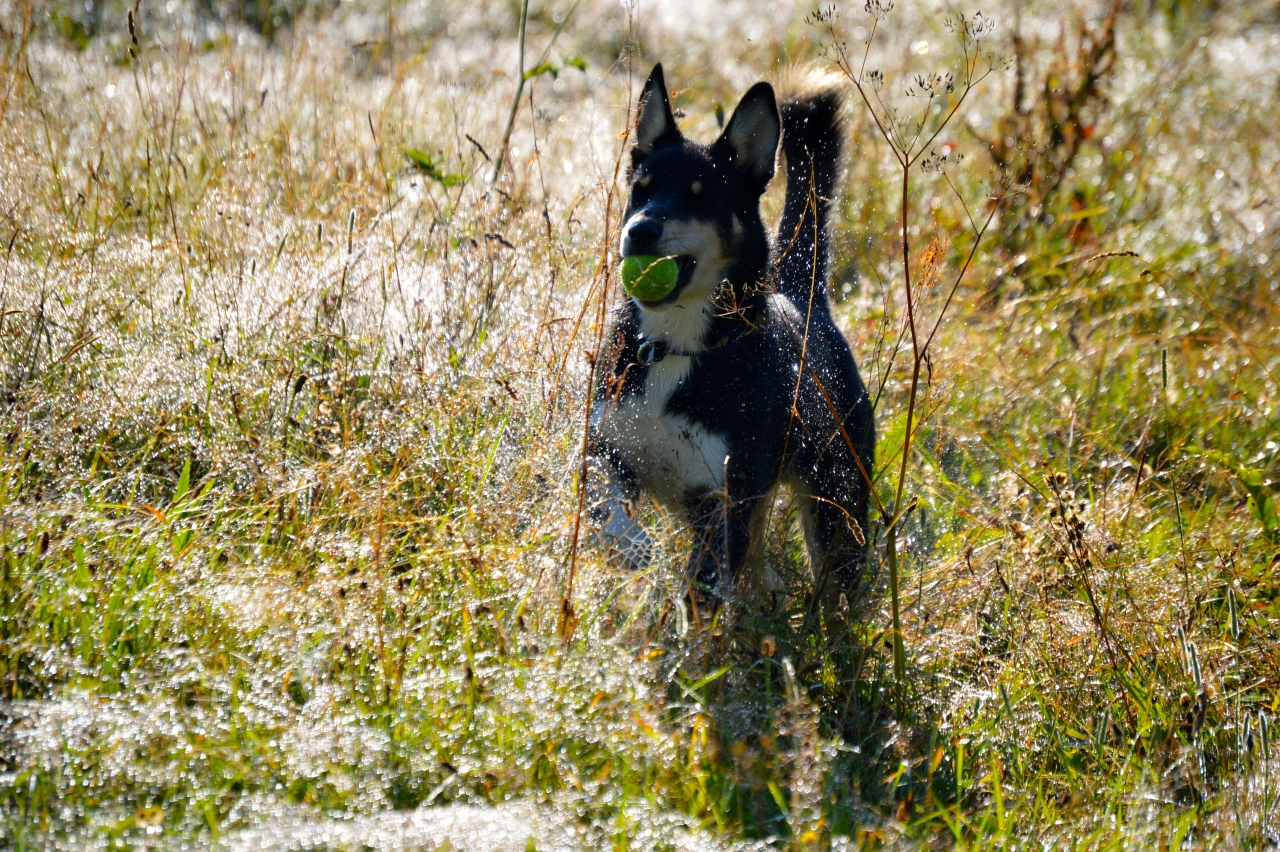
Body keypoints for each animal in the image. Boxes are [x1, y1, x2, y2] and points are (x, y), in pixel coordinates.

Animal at [587, 64, 875, 608]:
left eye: (701, 197)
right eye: (641, 190)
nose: (639, 231)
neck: (676, 346)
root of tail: (804, 300)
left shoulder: (725, 505)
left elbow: (701, 590)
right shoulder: (606, 448)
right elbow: (603, 509)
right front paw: (634, 547)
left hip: (837, 501)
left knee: (837, 579)